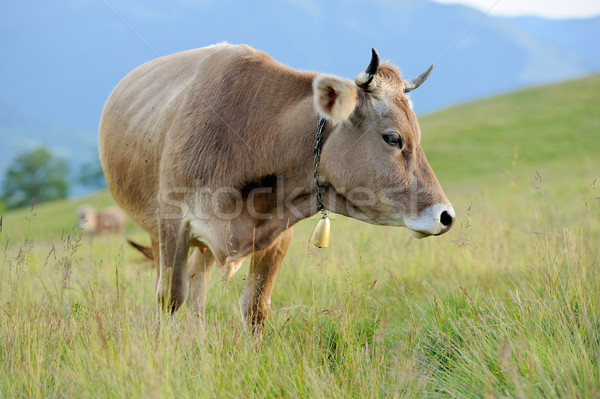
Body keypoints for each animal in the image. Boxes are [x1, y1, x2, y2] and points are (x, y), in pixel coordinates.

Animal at [99, 43, 454, 336]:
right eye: (393, 137)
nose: (445, 216)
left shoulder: (276, 234)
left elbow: (255, 308)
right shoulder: (173, 224)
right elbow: (169, 297)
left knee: (199, 287)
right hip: (156, 230)